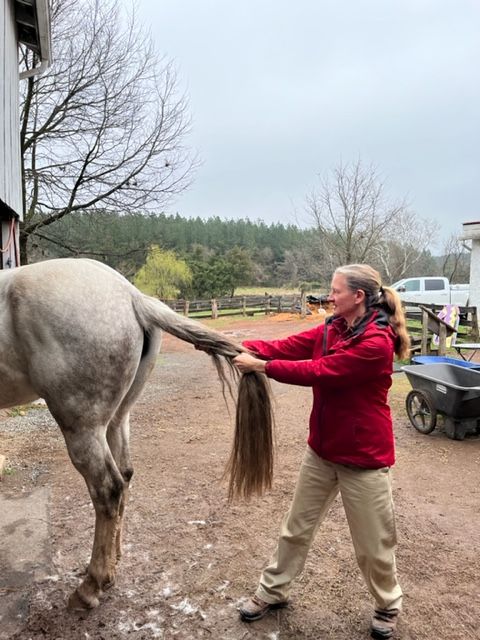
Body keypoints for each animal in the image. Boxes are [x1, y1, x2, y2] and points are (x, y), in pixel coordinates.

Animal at [0, 258, 274, 610]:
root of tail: (132, 297)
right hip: (118, 418)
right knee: (125, 475)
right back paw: (112, 563)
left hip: (82, 427)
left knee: (108, 489)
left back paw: (91, 586)